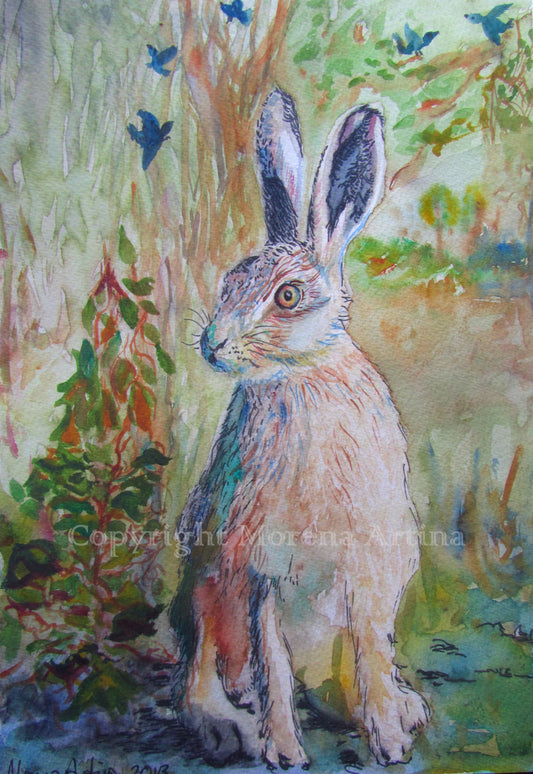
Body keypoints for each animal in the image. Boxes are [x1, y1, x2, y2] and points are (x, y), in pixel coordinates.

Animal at [170, 87, 430, 769]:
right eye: (229, 282)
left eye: (287, 297)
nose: (213, 346)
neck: (300, 374)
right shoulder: (258, 571)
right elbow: (275, 670)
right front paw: (284, 752)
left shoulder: (367, 572)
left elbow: (371, 652)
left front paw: (389, 739)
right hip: (206, 588)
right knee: (204, 671)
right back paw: (225, 725)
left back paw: (397, 708)